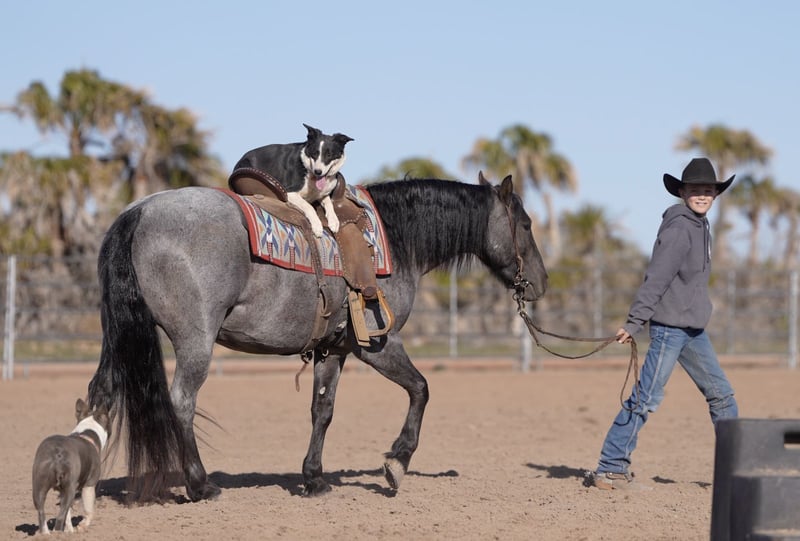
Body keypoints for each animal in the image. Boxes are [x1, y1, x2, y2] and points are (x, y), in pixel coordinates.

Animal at [31, 398, 110, 534]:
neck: (87, 433)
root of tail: (57, 453)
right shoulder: (89, 485)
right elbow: (89, 510)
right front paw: (82, 526)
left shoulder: (62, 492)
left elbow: (68, 513)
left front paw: (69, 531)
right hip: (70, 487)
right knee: (60, 515)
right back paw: (57, 534)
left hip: (39, 485)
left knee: (42, 511)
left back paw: (46, 534)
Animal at [86, 171, 547, 503]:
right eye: (525, 224)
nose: (540, 284)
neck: (394, 239)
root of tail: (139, 212)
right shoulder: (376, 345)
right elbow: (421, 388)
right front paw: (396, 463)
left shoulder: (334, 349)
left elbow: (322, 410)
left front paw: (314, 478)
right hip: (195, 340)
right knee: (182, 401)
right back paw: (201, 485)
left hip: (119, 338)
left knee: (102, 396)